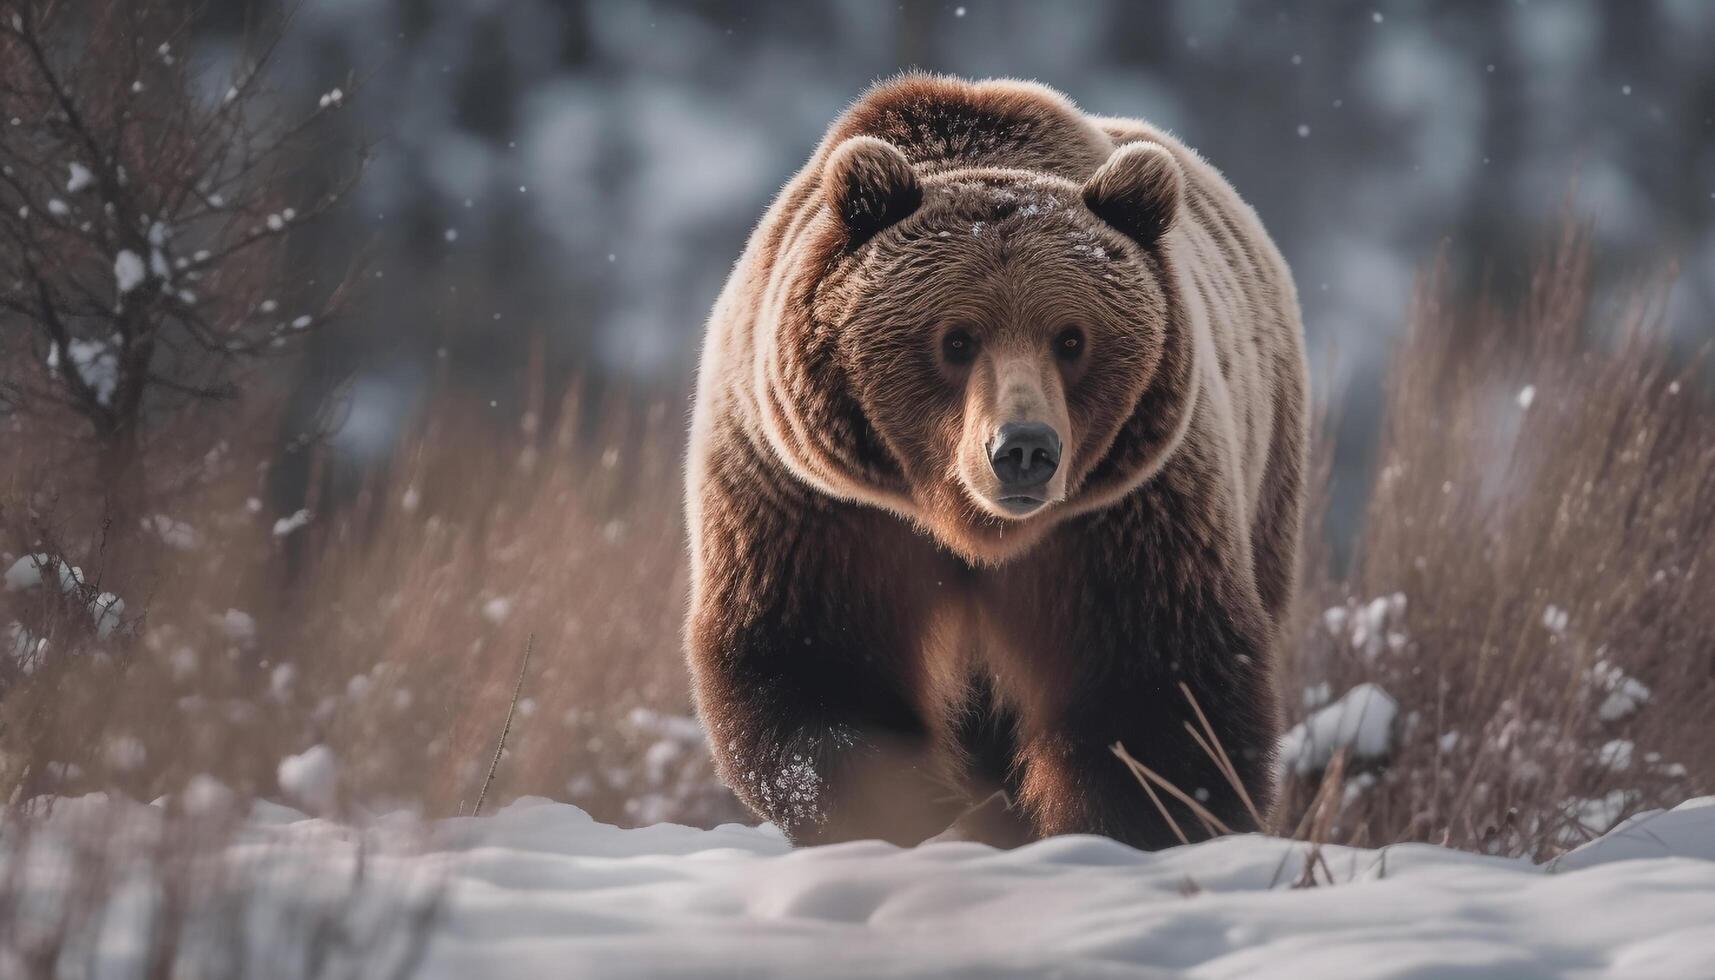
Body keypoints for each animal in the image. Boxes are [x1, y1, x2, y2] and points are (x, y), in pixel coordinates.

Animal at [682, 74, 1296, 851]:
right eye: (956, 338)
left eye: (1071, 338)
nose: (1024, 450)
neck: (966, 523)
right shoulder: (816, 502)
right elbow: (814, 660)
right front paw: (911, 806)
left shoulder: (1127, 515)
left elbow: (1155, 687)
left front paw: (1137, 824)